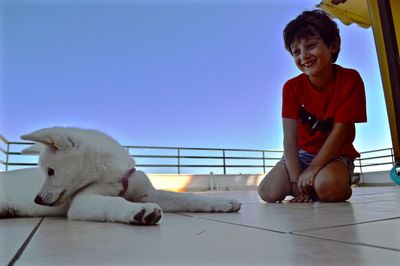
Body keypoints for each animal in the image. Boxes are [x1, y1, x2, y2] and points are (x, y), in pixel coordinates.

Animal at [0, 127, 241, 224]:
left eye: (50, 171)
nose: (37, 200)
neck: (115, 173)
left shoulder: (148, 193)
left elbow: (188, 198)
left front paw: (222, 202)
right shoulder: (82, 202)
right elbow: (114, 202)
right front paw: (137, 211)